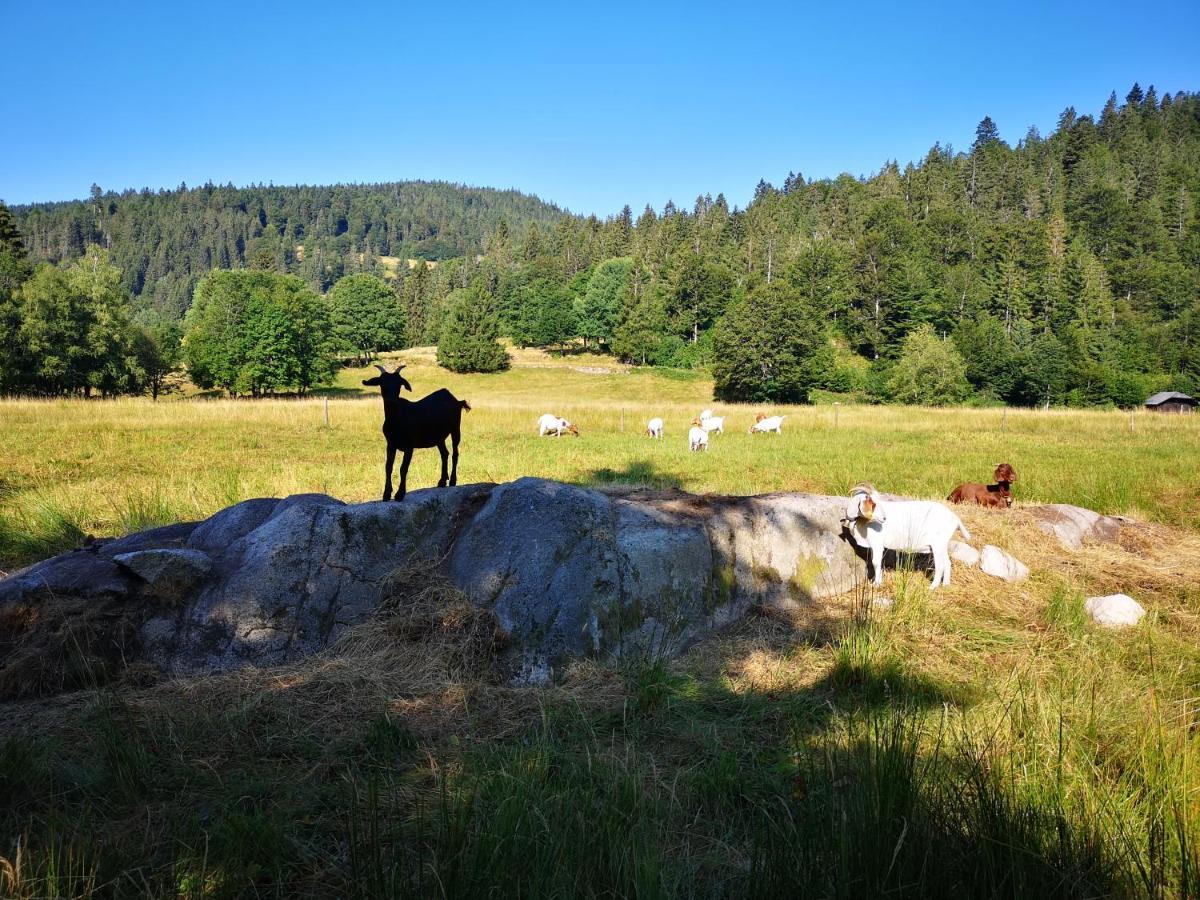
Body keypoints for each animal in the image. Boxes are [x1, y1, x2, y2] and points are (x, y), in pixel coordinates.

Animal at [360, 364, 468, 504]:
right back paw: (442, 481)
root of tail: (455, 399)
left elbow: (403, 469)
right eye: (381, 383)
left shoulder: (409, 447)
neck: (396, 419)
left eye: (399, 384)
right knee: (445, 454)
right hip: (439, 437)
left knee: (455, 453)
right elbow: (388, 467)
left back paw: (453, 481)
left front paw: (400, 494)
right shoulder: (390, 444)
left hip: (455, 428)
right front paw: (386, 494)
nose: (391, 400)